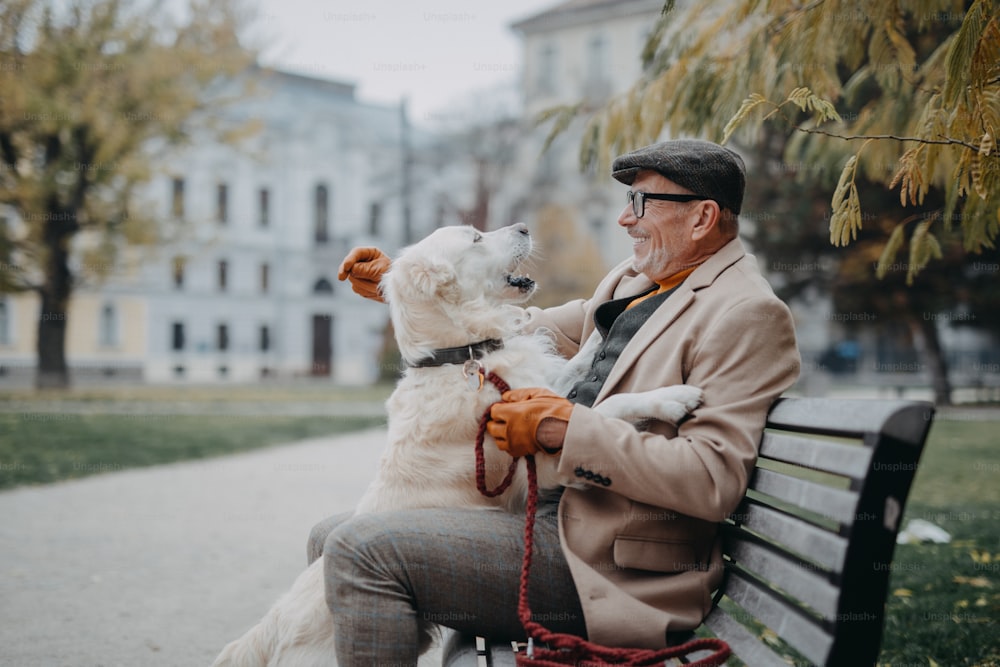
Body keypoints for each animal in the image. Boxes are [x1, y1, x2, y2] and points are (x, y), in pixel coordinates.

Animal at [211, 226, 700, 667]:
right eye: (476, 238)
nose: (524, 226)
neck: (464, 356)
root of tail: (267, 634)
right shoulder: (542, 462)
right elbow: (604, 409)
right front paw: (670, 398)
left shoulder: (537, 389)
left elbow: (575, 366)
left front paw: (607, 317)